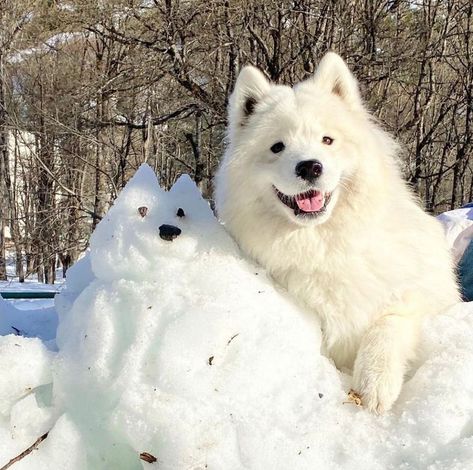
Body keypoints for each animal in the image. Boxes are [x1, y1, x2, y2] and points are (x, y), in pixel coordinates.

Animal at [216, 50, 460, 412]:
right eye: (277, 147)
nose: (310, 166)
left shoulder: (412, 296)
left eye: (327, 140)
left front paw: (375, 383)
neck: (326, 245)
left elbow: (389, 323)